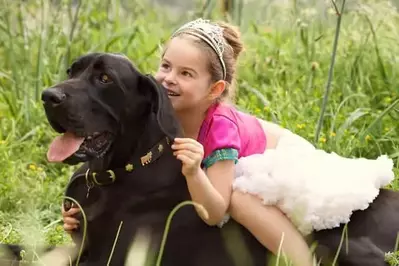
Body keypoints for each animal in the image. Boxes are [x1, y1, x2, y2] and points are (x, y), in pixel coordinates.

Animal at [1, 53, 398, 264]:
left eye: (104, 79)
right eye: (72, 71)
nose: (48, 96)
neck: (118, 173)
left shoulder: (114, 256)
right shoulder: (74, 245)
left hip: (339, 243)